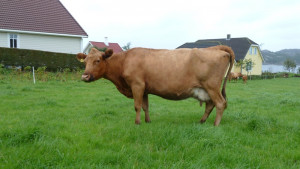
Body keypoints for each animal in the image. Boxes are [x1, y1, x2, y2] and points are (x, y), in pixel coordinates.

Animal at [77, 45, 234, 125]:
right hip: (206, 89)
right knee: (210, 105)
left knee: (220, 103)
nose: (85, 76)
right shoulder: (144, 89)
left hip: (212, 86)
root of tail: (216, 48)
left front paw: (137, 123)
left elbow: (137, 106)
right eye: (85, 62)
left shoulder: (137, 85)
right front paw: (147, 121)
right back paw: (202, 121)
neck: (124, 60)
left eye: (97, 60)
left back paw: (215, 124)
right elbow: (145, 106)